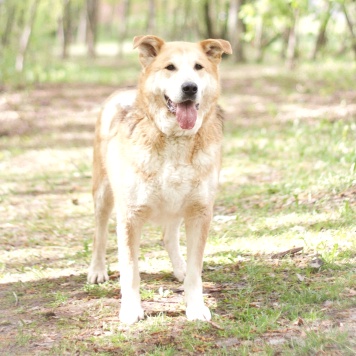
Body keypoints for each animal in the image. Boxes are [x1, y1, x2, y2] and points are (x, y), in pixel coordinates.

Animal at [87, 35, 232, 322]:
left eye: (199, 67)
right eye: (170, 67)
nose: (190, 88)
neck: (175, 138)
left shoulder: (200, 211)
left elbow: (195, 271)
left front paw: (195, 306)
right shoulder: (130, 216)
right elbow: (130, 270)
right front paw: (131, 310)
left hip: (177, 205)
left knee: (169, 236)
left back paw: (179, 268)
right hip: (103, 194)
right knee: (100, 233)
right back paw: (97, 270)